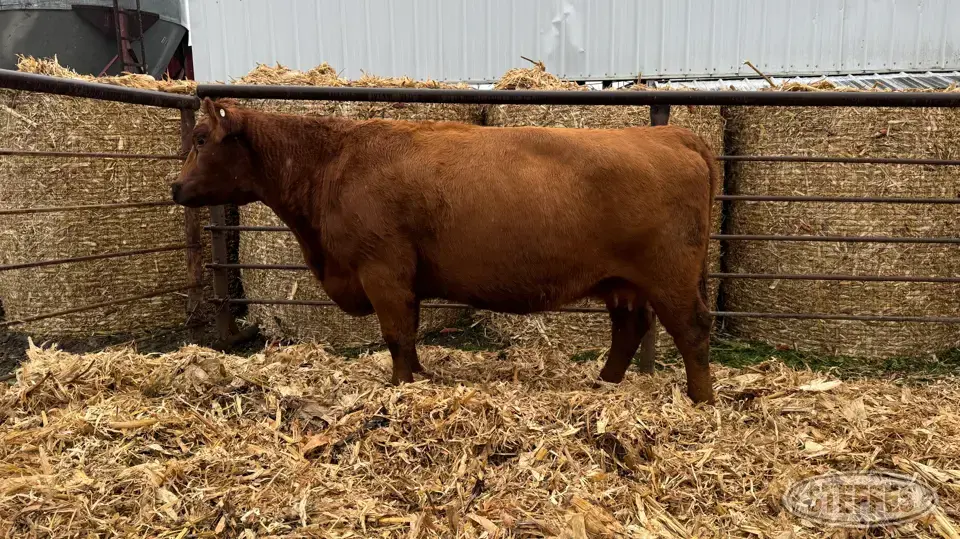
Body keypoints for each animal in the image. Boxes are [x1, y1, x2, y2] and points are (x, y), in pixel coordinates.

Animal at [172, 97, 718, 404]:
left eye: (200, 138)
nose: (175, 187)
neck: (335, 162)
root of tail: (671, 133)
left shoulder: (381, 269)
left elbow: (395, 334)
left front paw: (400, 388)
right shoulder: (402, 279)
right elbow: (409, 335)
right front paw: (417, 377)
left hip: (668, 275)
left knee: (691, 330)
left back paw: (701, 400)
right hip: (622, 282)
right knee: (630, 329)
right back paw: (604, 384)